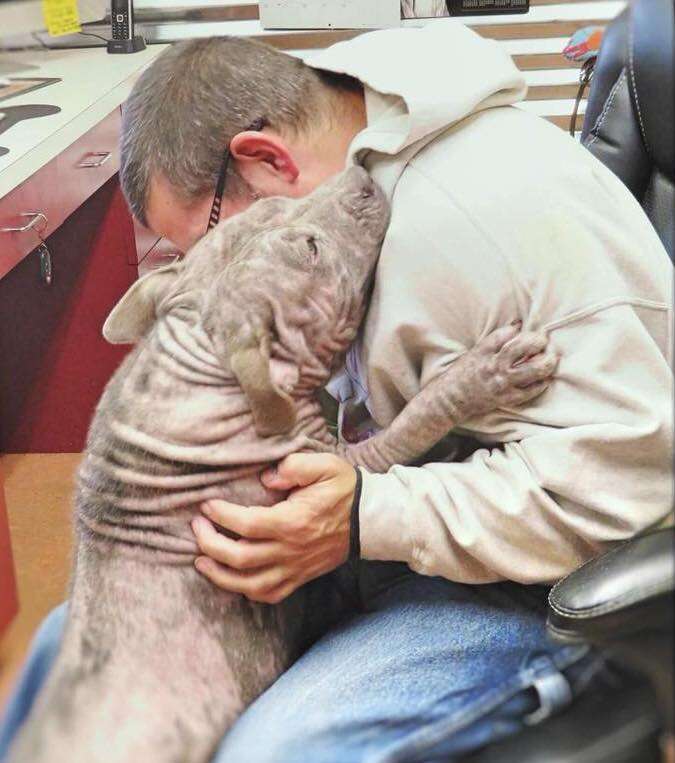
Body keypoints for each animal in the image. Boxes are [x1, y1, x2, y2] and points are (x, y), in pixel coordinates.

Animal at [9, 164, 560, 760]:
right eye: (312, 250)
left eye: (270, 205)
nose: (358, 173)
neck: (204, 361)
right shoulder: (346, 460)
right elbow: (415, 419)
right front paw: (486, 376)